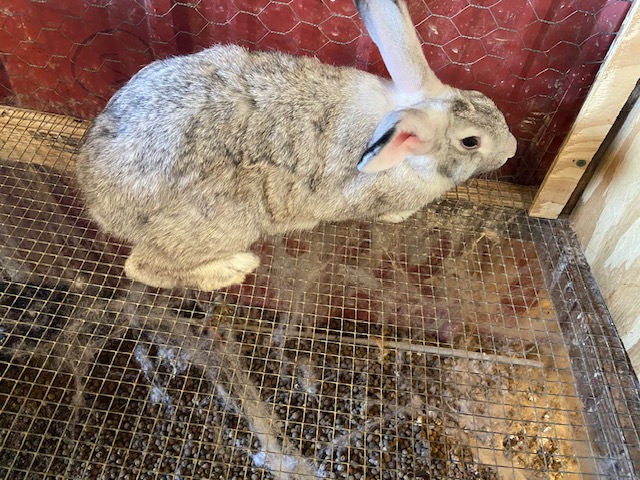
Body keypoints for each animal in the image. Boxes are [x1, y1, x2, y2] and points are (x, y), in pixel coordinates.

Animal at [76, 0, 518, 292]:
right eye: (471, 142)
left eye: (484, 100)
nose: (512, 149)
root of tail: (97, 199)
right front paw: (400, 215)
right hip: (226, 221)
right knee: (142, 266)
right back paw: (233, 268)